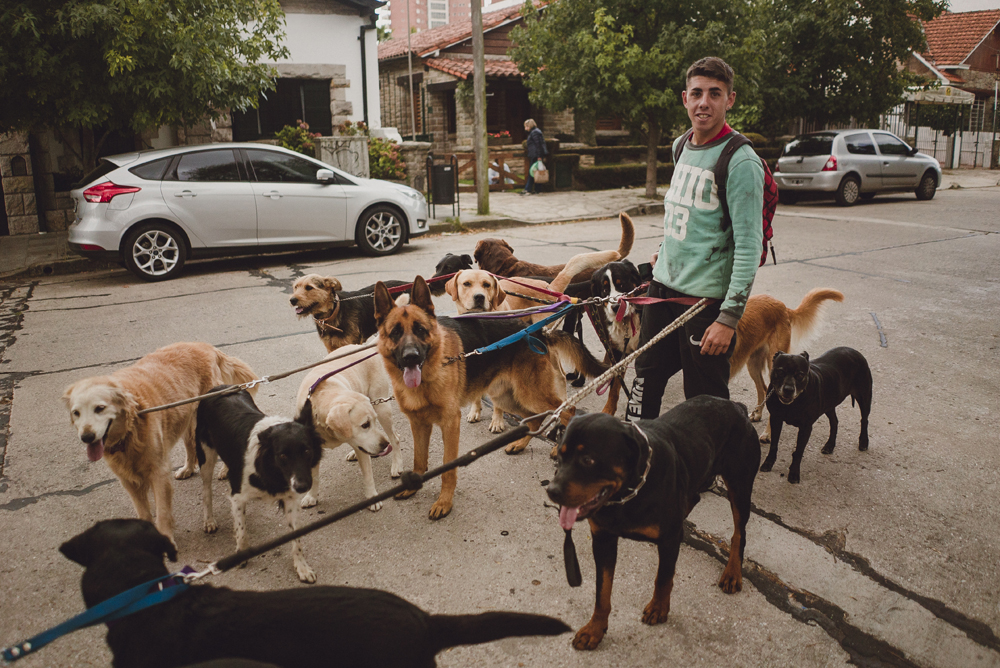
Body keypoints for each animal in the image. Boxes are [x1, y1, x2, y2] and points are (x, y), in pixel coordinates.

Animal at [61, 342, 258, 544]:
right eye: (76, 413)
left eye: (100, 408)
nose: (86, 437)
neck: (130, 429)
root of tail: (205, 345)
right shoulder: (128, 480)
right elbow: (143, 512)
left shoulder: (159, 473)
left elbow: (162, 512)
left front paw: (166, 537)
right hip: (185, 417)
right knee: (190, 446)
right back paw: (188, 468)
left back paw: (224, 470)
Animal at [548, 400, 756, 648]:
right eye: (560, 456)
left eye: (588, 459)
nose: (551, 491)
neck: (626, 496)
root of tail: (737, 406)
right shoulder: (603, 539)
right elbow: (602, 591)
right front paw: (595, 629)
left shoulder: (668, 540)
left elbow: (663, 578)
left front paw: (658, 608)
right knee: (694, 497)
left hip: (740, 485)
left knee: (739, 533)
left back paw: (733, 572)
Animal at [760, 348, 872, 482]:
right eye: (780, 372)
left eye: (800, 375)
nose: (788, 389)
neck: (793, 403)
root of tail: (855, 351)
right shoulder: (776, 419)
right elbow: (774, 445)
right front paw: (768, 463)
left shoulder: (805, 428)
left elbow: (799, 451)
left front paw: (794, 473)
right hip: (829, 404)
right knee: (834, 422)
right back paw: (829, 445)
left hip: (864, 397)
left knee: (864, 420)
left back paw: (863, 442)